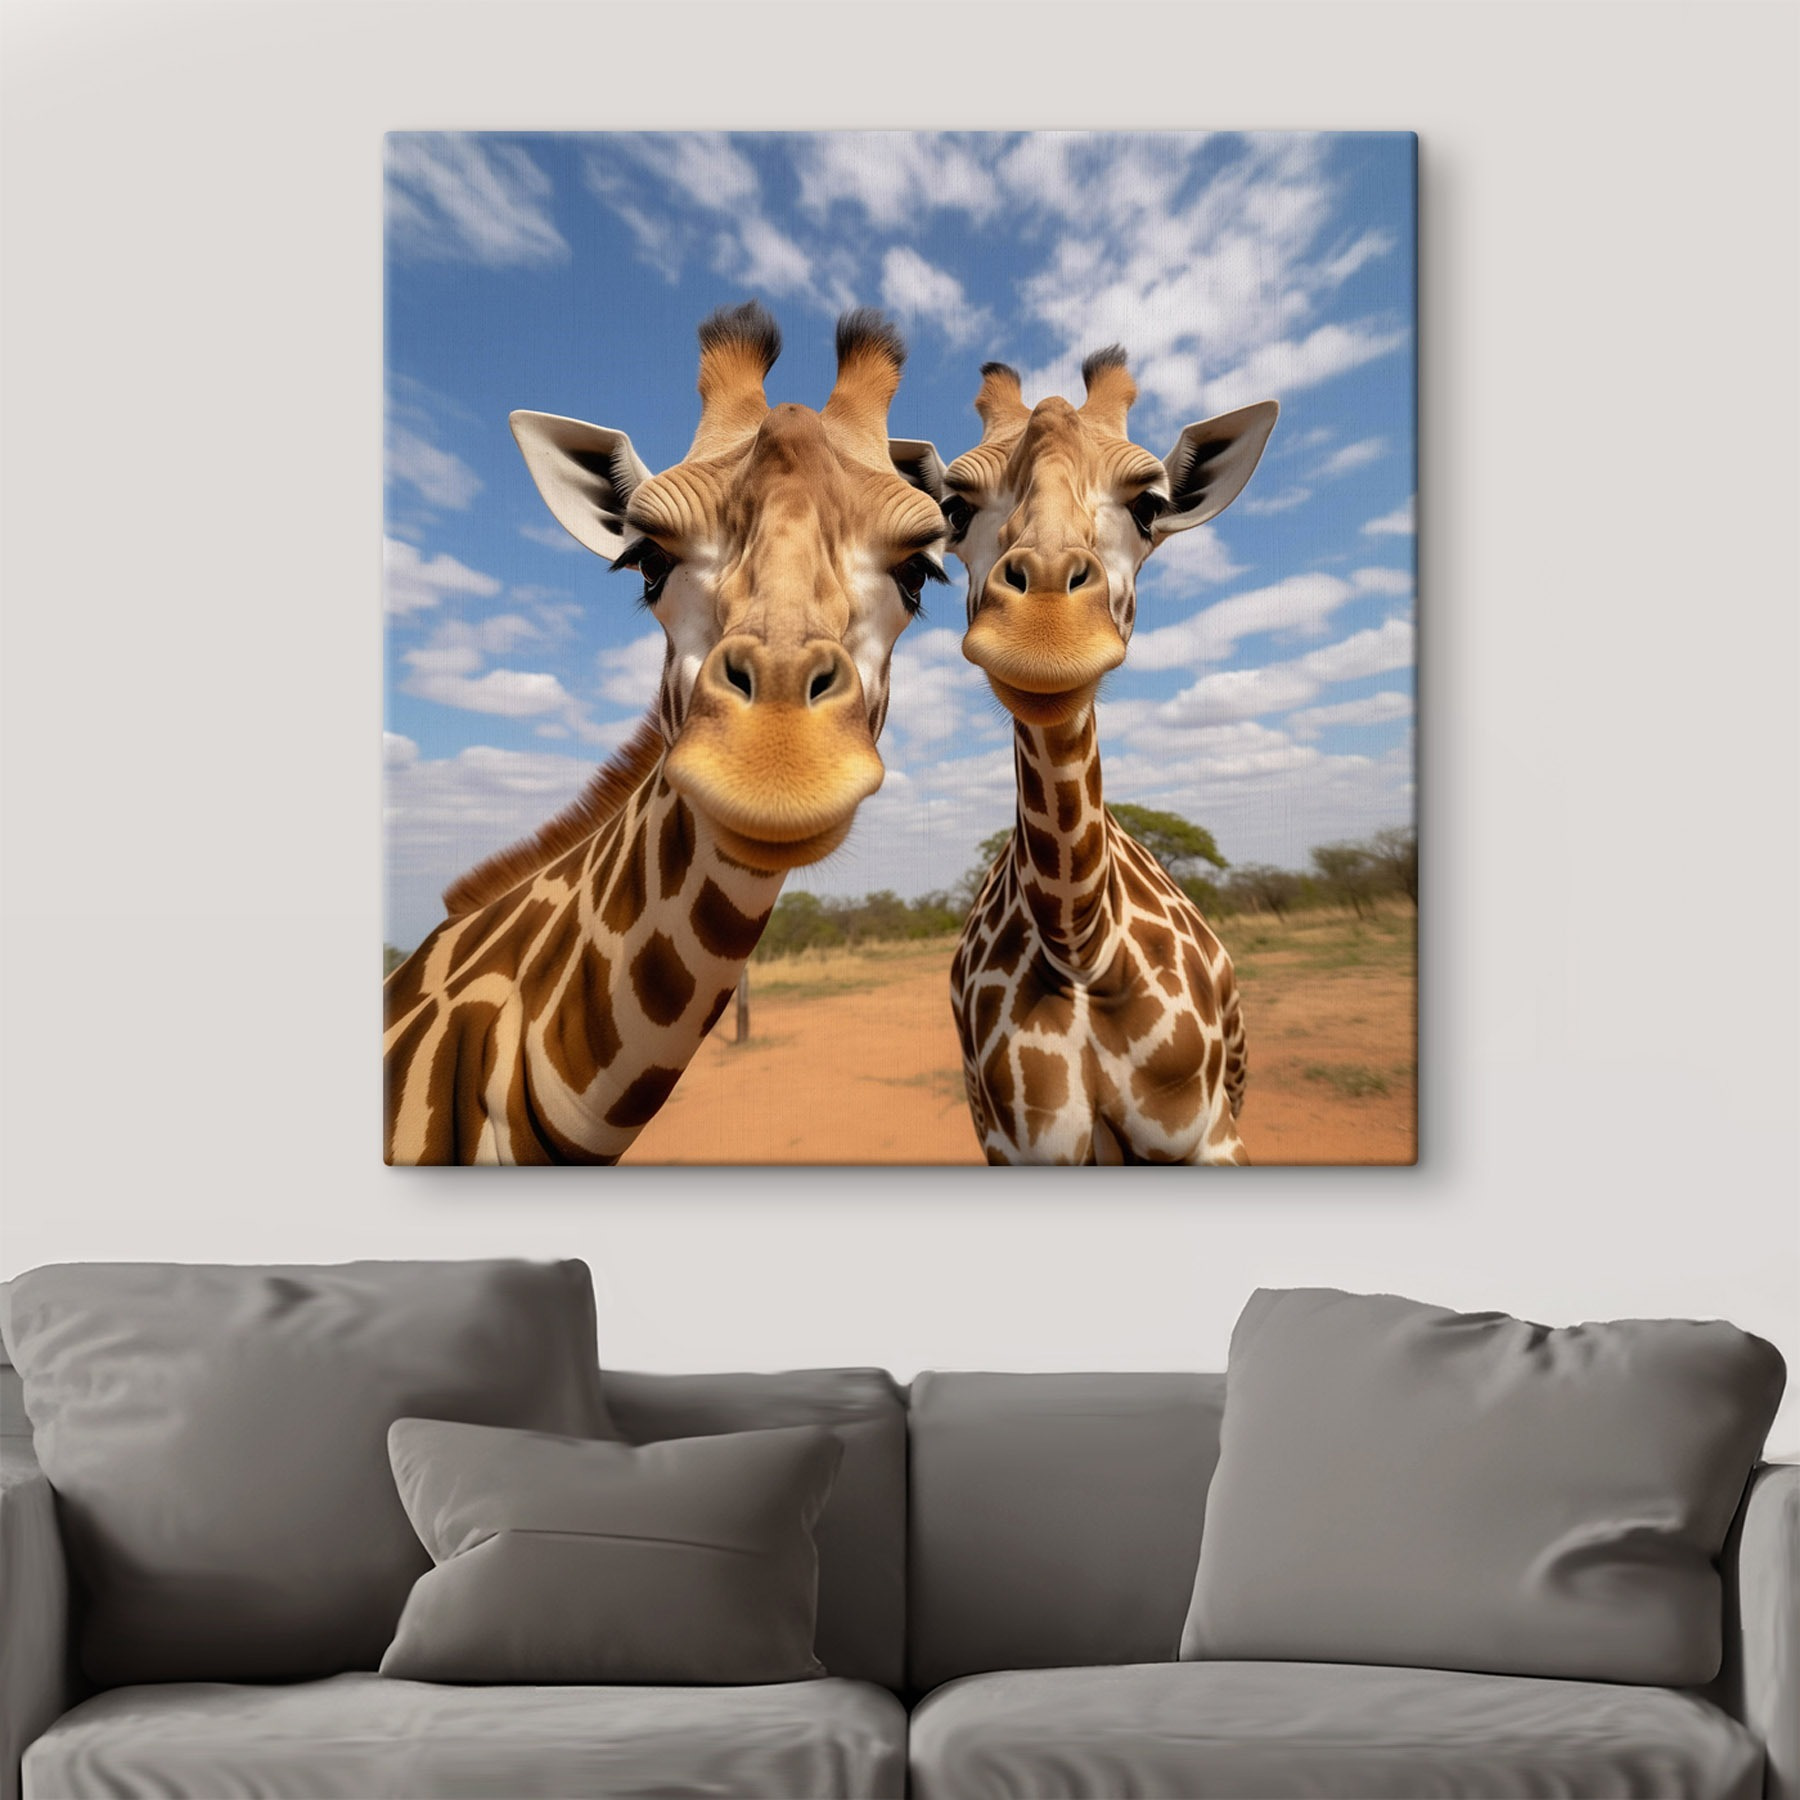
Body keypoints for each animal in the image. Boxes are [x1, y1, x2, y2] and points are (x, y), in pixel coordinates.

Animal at [942, 350, 1278, 1165]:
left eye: (1150, 504)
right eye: (954, 508)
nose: (1045, 634)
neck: (1082, 944)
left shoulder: (1210, 1135)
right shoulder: (1016, 1146)